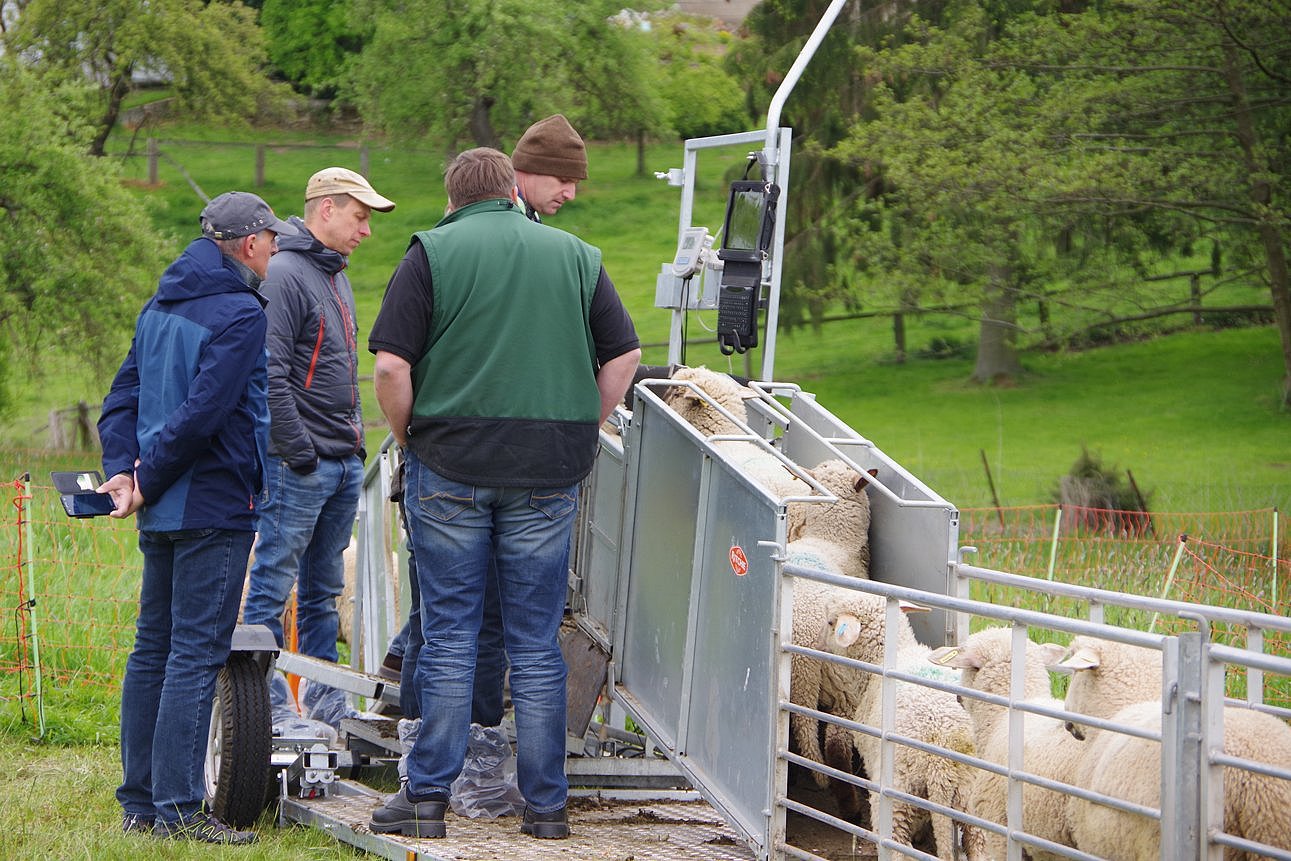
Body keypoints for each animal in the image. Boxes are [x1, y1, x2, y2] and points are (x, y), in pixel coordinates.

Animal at [821, 593, 981, 861]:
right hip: (973, 803)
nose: (819, 644)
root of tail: (941, 765)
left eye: (831, 622)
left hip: (897, 796)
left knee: (897, 846)